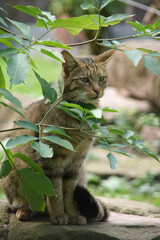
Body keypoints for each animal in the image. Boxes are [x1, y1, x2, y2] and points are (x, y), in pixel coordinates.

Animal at [0, 49, 115, 225]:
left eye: (101, 78)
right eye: (84, 79)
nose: (97, 90)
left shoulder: (77, 162)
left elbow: (69, 194)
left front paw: (73, 215)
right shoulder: (52, 160)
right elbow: (56, 193)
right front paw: (59, 215)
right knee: (18, 203)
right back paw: (25, 210)